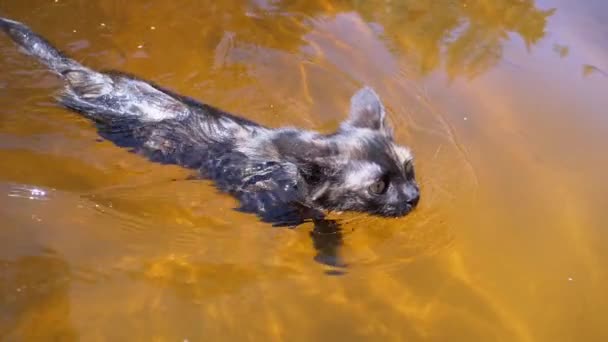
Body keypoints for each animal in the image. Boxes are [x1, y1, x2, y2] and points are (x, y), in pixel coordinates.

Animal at [0, 18, 418, 227]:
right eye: (379, 186)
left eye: (409, 169)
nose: (414, 196)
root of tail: (87, 74)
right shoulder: (269, 206)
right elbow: (313, 220)